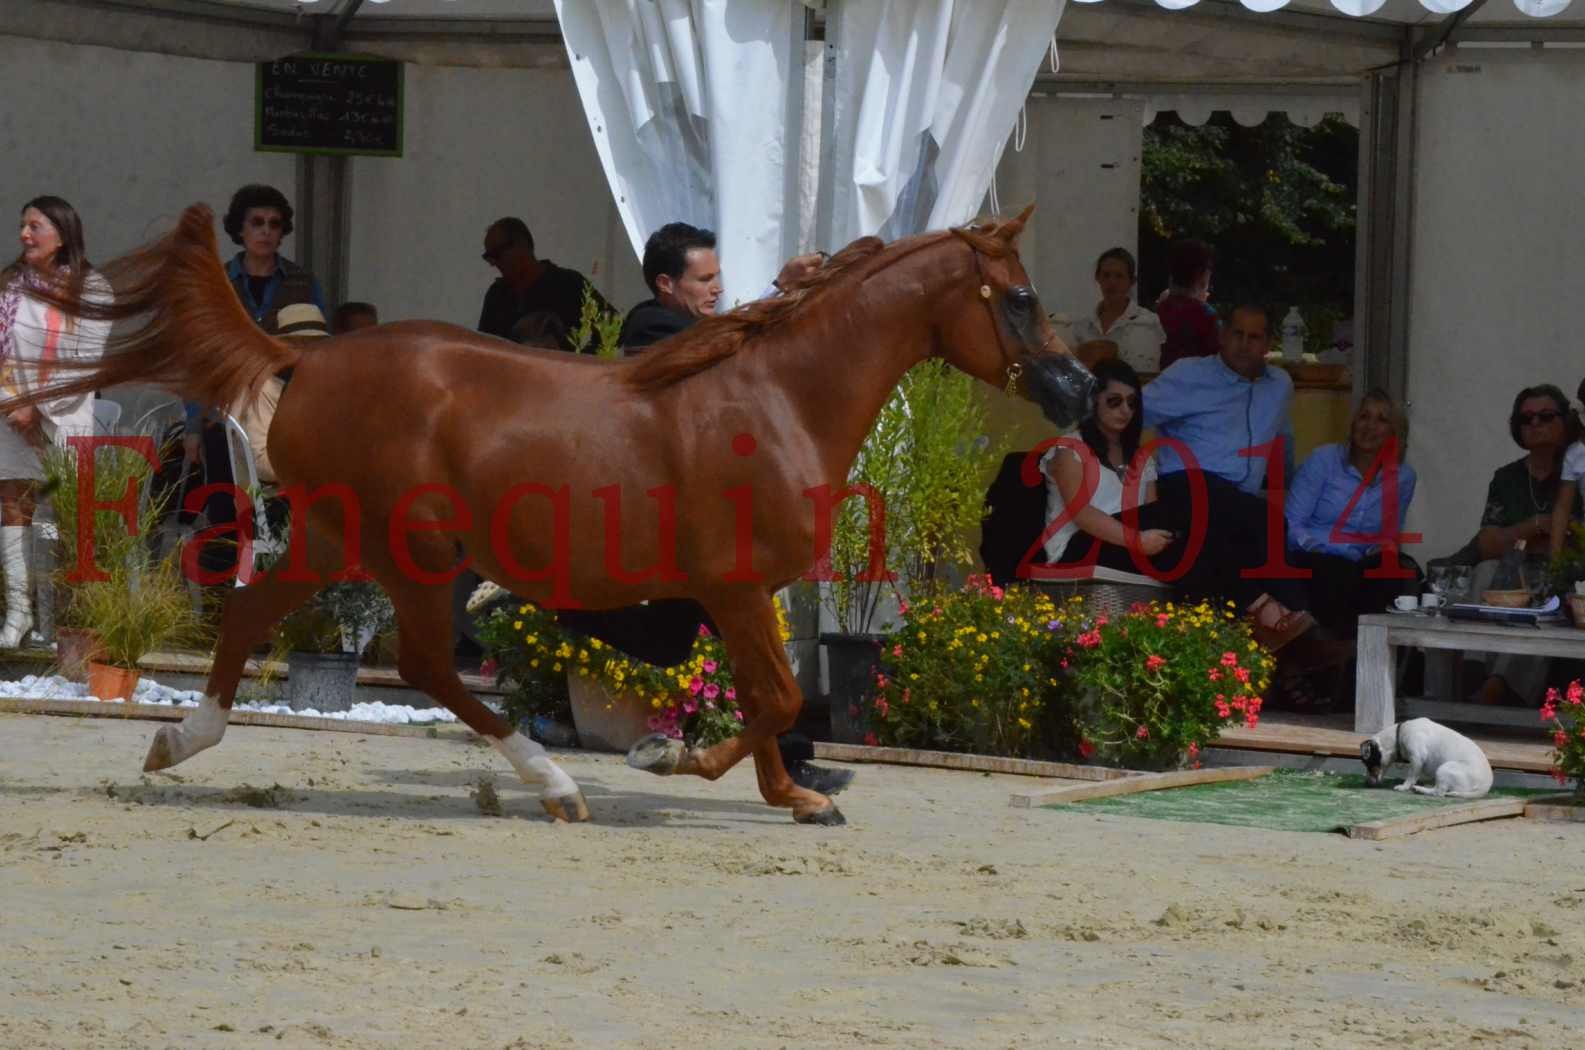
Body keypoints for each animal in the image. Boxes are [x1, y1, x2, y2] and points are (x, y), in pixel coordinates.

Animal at [12, 206, 1096, 824]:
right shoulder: (734, 586)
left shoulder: (723, 597)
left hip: (333, 535)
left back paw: (178, 742)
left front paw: (778, 785)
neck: (779, 397)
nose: (1080, 389)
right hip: (410, 548)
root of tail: (304, 359)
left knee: (252, 618)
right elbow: (778, 698)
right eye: (1020, 297)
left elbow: (772, 698)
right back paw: (553, 786)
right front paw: (702, 766)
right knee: (423, 664)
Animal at [1356, 720, 1489, 802]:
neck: (1398, 735)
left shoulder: (1417, 759)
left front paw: (1404, 786)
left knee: (1438, 792)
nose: (1366, 783)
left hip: (1444, 768)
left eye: (1368, 763)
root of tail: (1485, 787)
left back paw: (1420, 789)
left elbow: (1410, 776)